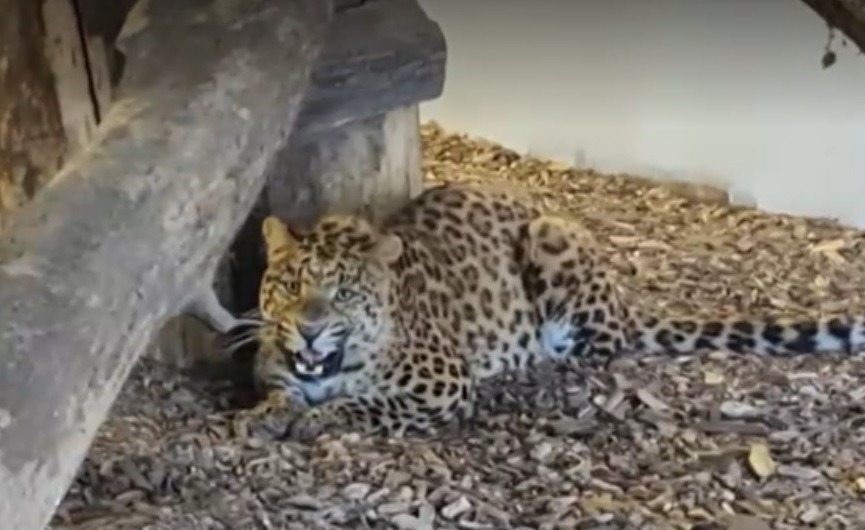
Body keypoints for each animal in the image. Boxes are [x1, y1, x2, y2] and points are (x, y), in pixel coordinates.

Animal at [233, 182, 865, 441]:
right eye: (290, 285)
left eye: (344, 295)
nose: (310, 330)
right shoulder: (274, 368)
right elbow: (279, 391)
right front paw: (264, 415)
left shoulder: (443, 382)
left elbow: (363, 403)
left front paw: (318, 418)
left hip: (550, 236)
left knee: (600, 345)